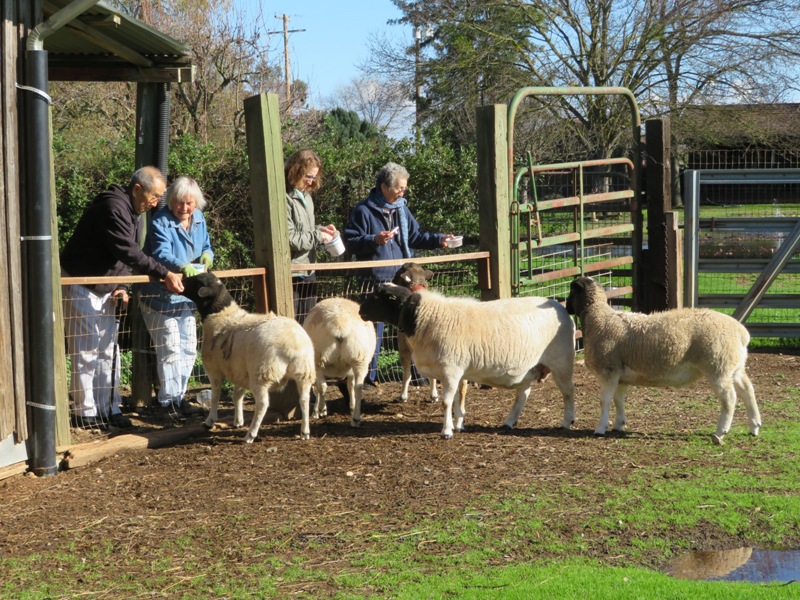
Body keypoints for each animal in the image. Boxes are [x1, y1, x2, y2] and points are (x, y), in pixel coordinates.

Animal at [179, 274, 316, 442]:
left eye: (197, 282)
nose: (180, 281)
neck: (221, 315)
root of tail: (291, 344)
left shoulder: (214, 370)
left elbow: (215, 395)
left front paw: (210, 421)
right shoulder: (239, 370)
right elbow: (237, 395)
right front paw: (238, 421)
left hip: (262, 373)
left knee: (263, 404)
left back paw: (250, 434)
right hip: (304, 372)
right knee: (304, 399)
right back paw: (305, 432)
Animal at [302, 296, 376, 426]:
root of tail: (340, 324)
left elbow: (318, 388)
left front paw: (317, 411)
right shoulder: (350, 370)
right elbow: (350, 385)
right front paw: (352, 406)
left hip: (318, 359)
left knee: (322, 386)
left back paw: (322, 409)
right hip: (360, 358)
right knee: (358, 387)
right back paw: (356, 418)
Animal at [358, 284, 576, 438]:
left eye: (378, 296)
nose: (360, 311)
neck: (426, 316)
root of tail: (560, 306)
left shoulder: (450, 370)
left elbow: (446, 402)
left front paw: (447, 431)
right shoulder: (453, 372)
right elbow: (456, 400)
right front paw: (458, 425)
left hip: (562, 362)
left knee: (568, 392)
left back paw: (568, 421)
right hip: (528, 367)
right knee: (523, 394)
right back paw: (508, 422)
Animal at [564, 274, 760, 442]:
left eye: (572, 290)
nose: (566, 307)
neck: (598, 318)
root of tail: (741, 332)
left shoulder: (608, 371)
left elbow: (604, 401)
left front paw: (600, 428)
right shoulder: (619, 374)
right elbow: (618, 399)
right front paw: (619, 424)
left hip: (718, 366)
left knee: (730, 399)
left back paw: (720, 433)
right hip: (734, 367)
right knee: (747, 390)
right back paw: (754, 427)